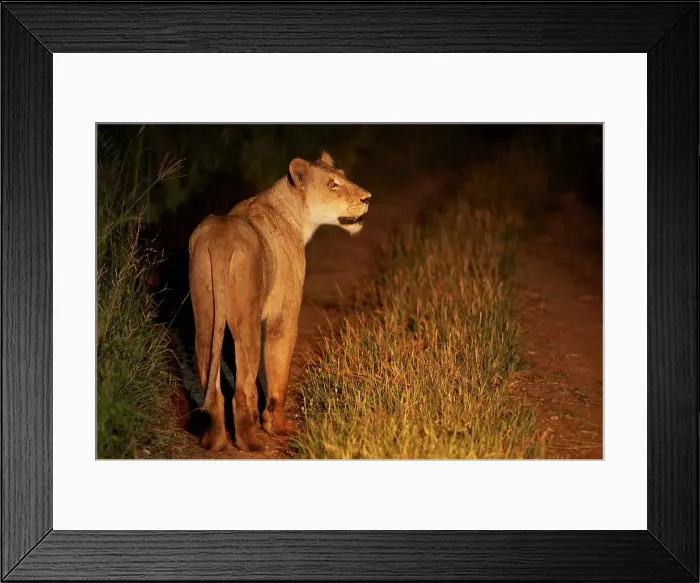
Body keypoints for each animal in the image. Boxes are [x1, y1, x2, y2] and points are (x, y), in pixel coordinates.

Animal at [188, 151, 371, 451]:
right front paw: (277, 426)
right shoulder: (284, 314)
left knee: (213, 381)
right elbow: (278, 373)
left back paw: (214, 441)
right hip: (246, 322)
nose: (367, 198)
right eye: (332, 184)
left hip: (205, 317)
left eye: (343, 177)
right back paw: (250, 443)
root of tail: (221, 239)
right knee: (240, 389)